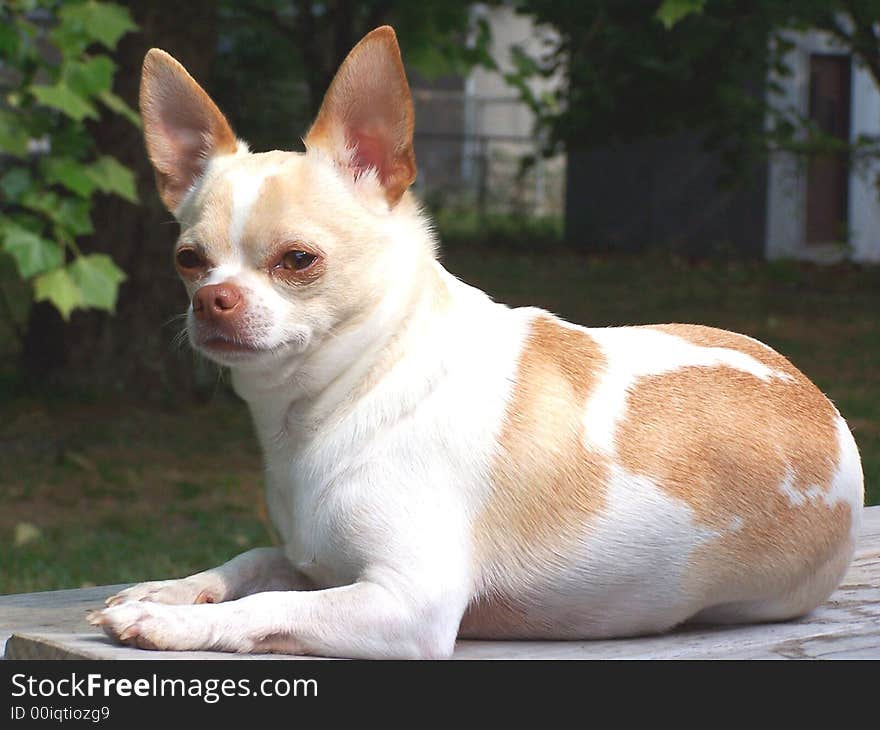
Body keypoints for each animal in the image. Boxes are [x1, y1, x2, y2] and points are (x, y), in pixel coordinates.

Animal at [86, 28, 864, 656]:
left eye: (297, 260)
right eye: (189, 260)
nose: (212, 299)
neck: (343, 398)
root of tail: (823, 404)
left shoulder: (406, 603)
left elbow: (269, 604)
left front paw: (175, 623)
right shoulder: (315, 561)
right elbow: (253, 560)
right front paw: (169, 589)